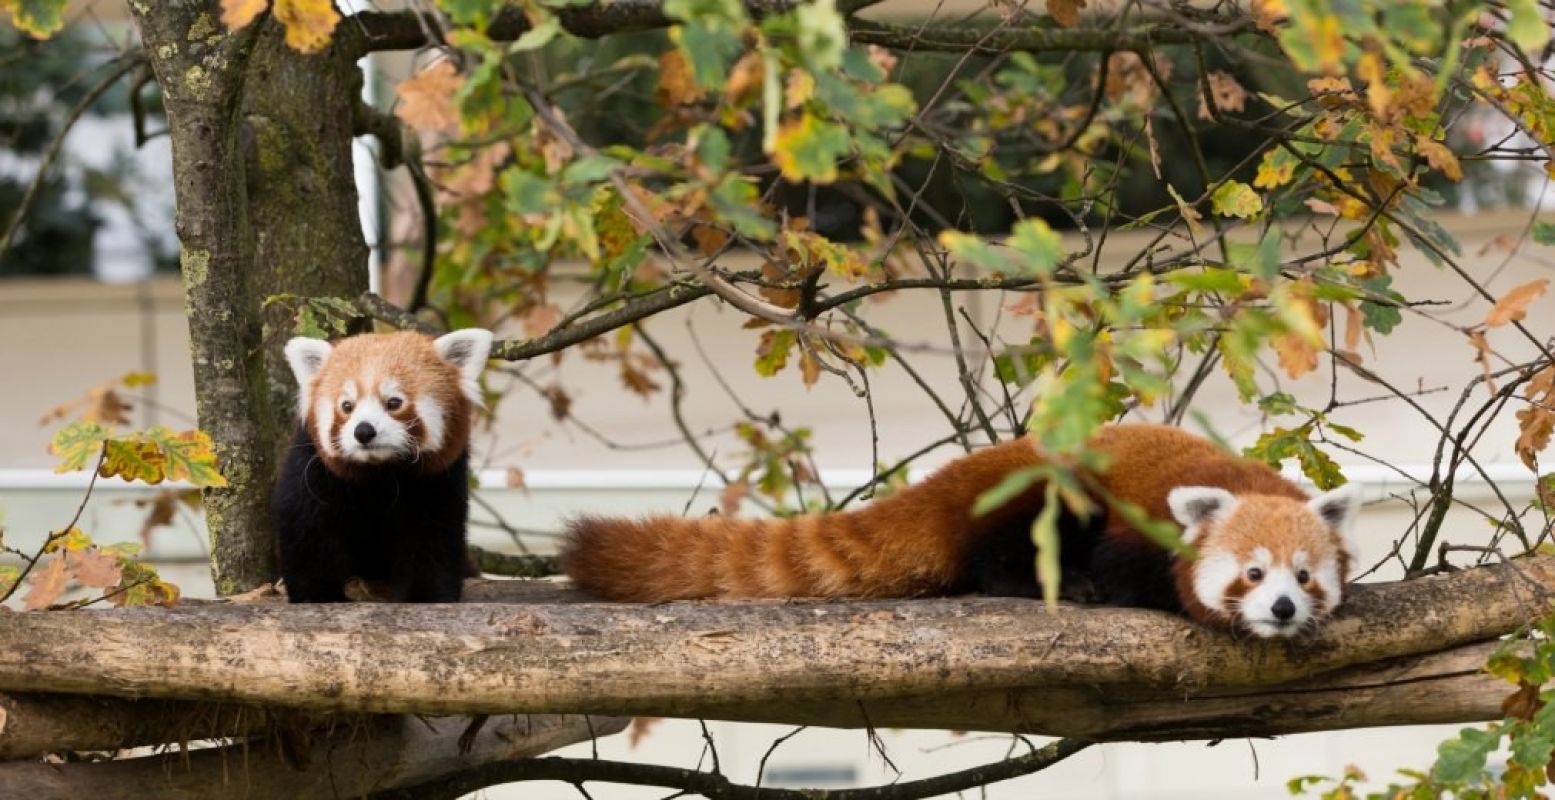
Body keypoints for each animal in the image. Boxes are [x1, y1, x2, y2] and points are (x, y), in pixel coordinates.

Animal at [273, 328, 491, 597]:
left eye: (394, 402)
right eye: (347, 406)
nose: (363, 431)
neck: (380, 473)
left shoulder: (440, 479)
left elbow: (433, 538)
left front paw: (426, 594)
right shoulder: (313, 472)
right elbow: (307, 531)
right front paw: (319, 594)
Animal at [559, 423, 1362, 635]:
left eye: (1303, 575)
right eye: (1251, 574)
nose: (1282, 608)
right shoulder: (1132, 526)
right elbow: (1128, 569)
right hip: (1046, 491)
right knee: (1001, 552)